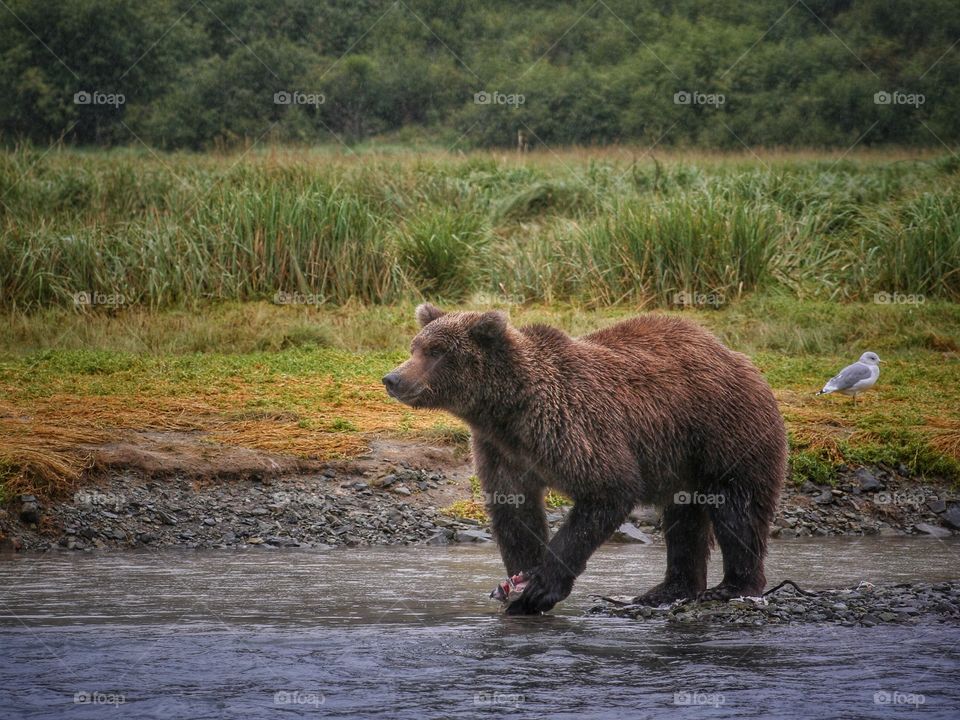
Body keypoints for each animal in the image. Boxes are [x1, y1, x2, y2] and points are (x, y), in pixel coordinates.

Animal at [382, 306, 788, 616]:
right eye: (415, 346)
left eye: (436, 351)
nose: (393, 378)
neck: (509, 411)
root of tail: (738, 357)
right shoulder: (501, 449)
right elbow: (514, 511)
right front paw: (520, 583)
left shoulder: (574, 426)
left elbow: (607, 489)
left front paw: (541, 587)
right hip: (681, 459)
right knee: (684, 518)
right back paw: (666, 590)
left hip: (725, 431)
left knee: (736, 507)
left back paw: (732, 586)